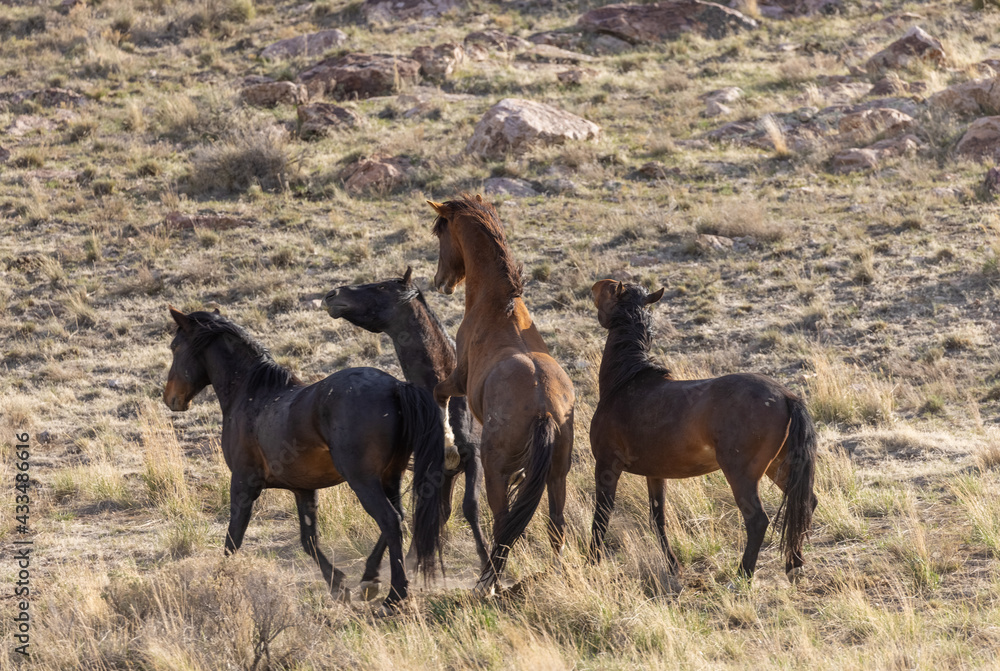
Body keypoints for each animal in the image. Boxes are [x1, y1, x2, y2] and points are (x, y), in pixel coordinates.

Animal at [162, 307, 444, 611]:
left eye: (175, 347)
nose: (170, 398)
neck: (251, 395)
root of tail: (395, 386)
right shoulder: (303, 489)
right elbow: (308, 540)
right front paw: (338, 586)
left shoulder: (243, 484)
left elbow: (232, 540)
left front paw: (219, 585)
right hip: (391, 476)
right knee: (399, 518)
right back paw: (370, 581)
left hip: (363, 480)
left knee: (390, 521)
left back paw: (395, 595)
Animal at [323, 267, 489, 573]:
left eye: (380, 287)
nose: (332, 295)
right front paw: (411, 559)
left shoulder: (474, 457)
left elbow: (470, 506)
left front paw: (488, 564)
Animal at [427, 194, 575, 595]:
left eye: (440, 233)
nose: (440, 282)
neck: (499, 306)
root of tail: (544, 408)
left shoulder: (458, 379)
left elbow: (438, 393)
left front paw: (448, 442)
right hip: (558, 474)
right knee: (555, 524)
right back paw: (555, 573)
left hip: (495, 472)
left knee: (502, 522)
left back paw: (490, 584)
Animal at [588, 280, 817, 584]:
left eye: (606, 291)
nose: (592, 291)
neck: (625, 382)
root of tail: (786, 396)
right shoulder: (655, 474)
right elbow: (658, 518)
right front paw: (673, 565)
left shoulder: (606, 467)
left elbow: (601, 517)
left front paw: (592, 563)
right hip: (779, 467)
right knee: (806, 503)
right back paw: (794, 564)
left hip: (741, 474)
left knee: (757, 520)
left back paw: (743, 575)